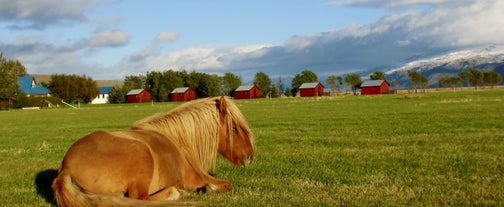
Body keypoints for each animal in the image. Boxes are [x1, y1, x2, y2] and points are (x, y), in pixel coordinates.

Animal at [53, 96, 254, 206]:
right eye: (234, 128)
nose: (250, 157)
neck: (179, 142)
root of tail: (66, 169)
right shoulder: (196, 179)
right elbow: (227, 184)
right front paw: (207, 188)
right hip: (141, 158)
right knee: (142, 198)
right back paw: (177, 193)